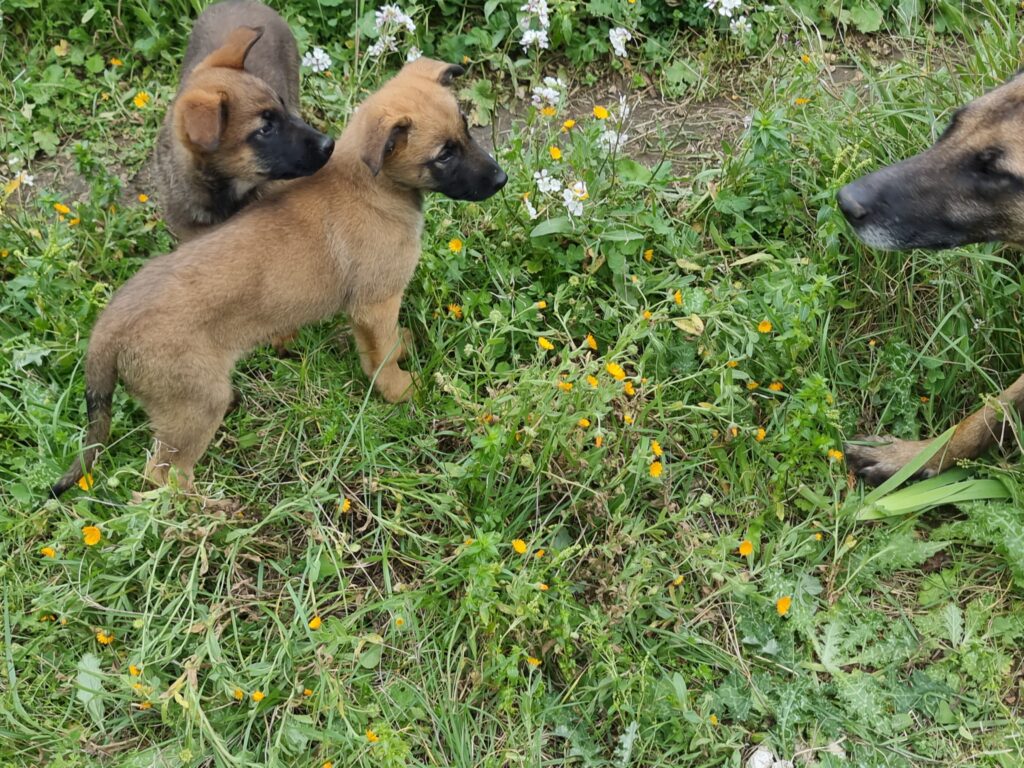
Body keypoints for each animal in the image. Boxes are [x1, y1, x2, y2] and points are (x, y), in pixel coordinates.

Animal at [51, 63, 507, 501]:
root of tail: (107, 331)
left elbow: (383, 346)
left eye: (467, 130)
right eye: (444, 155)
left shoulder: (368, 311)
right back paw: (210, 511)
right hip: (195, 407)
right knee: (163, 477)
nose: (502, 180)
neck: (370, 183)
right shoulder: (376, 303)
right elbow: (381, 358)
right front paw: (399, 390)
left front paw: (401, 348)